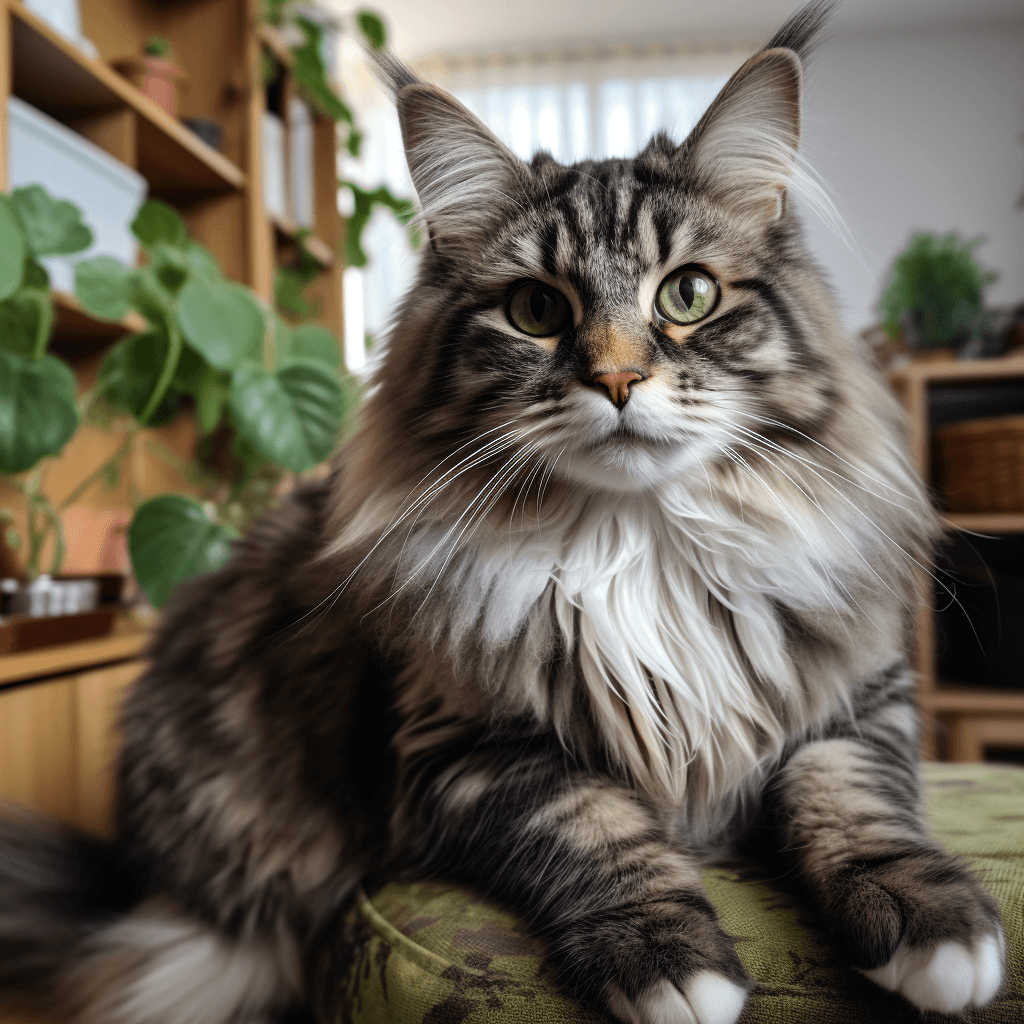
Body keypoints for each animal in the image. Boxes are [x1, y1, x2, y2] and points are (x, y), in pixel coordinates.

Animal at [0, 2, 1003, 1024]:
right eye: (535, 310)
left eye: (687, 294)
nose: (617, 380)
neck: (637, 546)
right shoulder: (467, 754)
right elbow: (598, 833)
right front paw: (670, 962)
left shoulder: (858, 697)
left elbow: (856, 803)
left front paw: (935, 927)